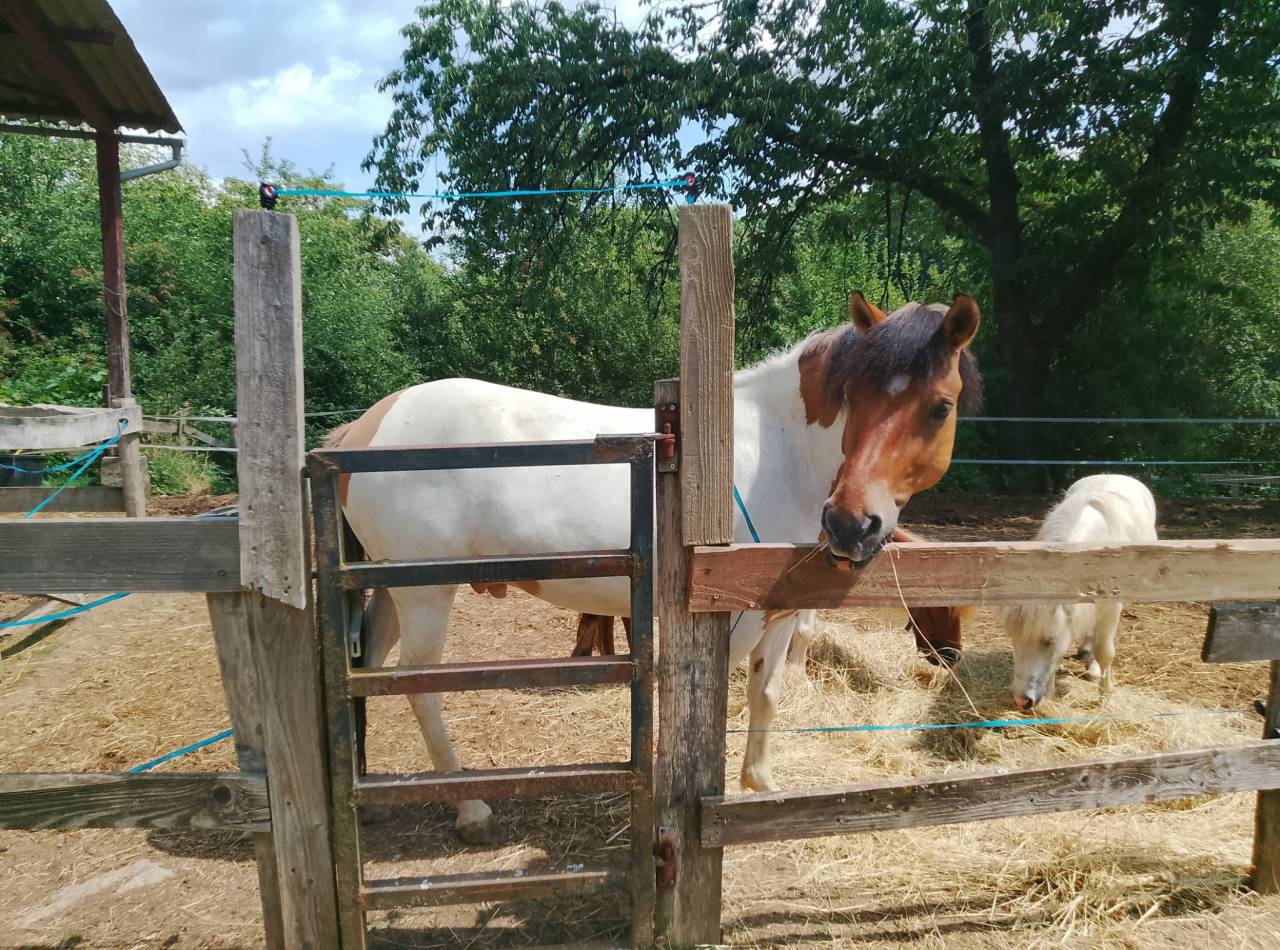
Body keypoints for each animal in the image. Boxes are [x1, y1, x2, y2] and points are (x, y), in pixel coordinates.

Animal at [329, 292, 981, 842]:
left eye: (938, 406)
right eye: (855, 397)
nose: (851, 524)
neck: (779, 450)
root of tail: (365, 428)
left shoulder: (780, 611)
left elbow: (766, 692)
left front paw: (761, 787)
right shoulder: (730, 618)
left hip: (391, 588)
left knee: (372, 667)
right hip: (425, 593)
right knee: (418, 686)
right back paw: (470, 808)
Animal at [1004, 474, 1157, 710]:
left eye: (1049, 641)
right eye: (1013, 637)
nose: (1021, 701)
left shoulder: (1111, 608)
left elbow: (1105, 652)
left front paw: (1105, 696)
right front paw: (1050, 692)